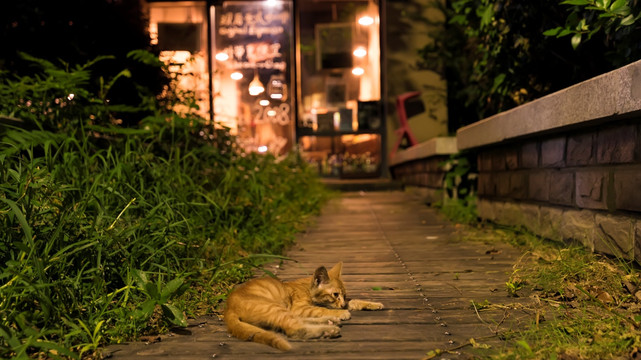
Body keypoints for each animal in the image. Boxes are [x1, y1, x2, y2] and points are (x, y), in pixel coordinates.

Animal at [222, 262, 382, 350]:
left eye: (344, 295)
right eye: (335, 294)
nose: (342, 304)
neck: (306, 287)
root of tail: (228, 308)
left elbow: (353, 301)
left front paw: (373, 304)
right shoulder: (299, 307)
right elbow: (321, 309)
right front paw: (341, 313)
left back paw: (329, 322)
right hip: (276, 308)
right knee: (295, 329)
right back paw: (329, 330)